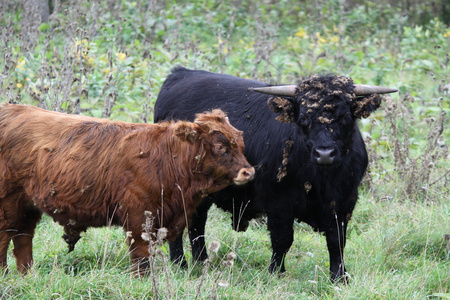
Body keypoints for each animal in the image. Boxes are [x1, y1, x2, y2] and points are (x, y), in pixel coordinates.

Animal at [0, 104, 253, 276]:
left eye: (240, 145)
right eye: (220, 146)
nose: (248, 171)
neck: (169, 159)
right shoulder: (138, 215)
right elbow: (141, 255)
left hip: (28, 206)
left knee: (23, 238)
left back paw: (27, 275)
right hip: (8, 204)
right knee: (5, 237)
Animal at [155, 66, 398, 282]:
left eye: (346, 117)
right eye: (303, 119)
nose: (324, 153)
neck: (322, 180)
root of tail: (180, 74)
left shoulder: (345, 202)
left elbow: (336, 241)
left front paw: (339, 277)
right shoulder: (280, 203)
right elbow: (282, 240)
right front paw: (275, 273)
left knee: (197, 221)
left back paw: (201, 263)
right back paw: (180, 264)